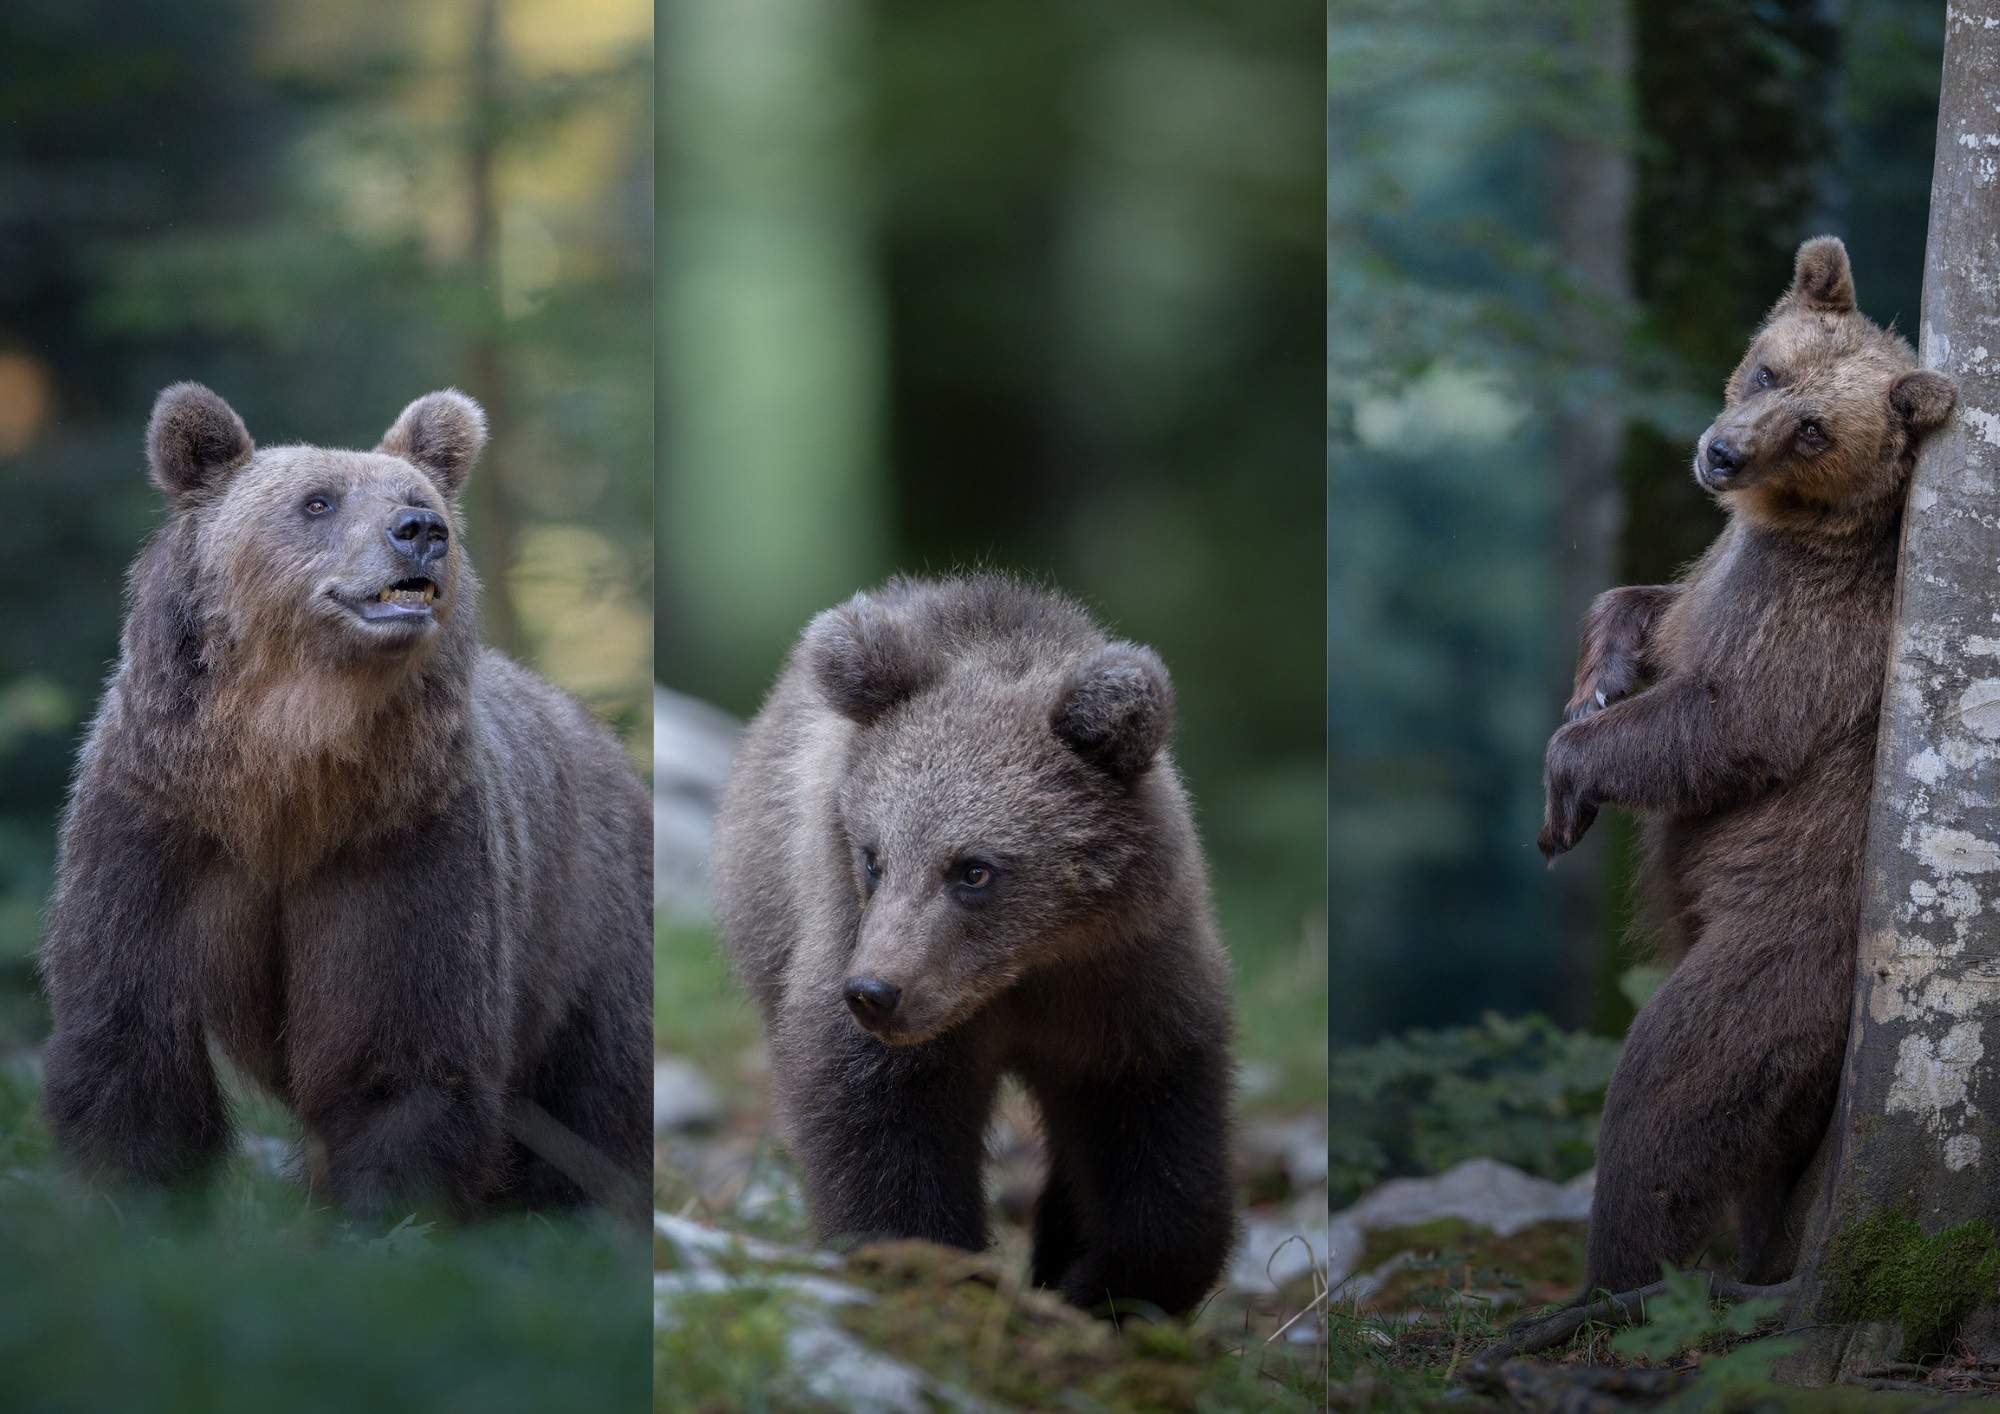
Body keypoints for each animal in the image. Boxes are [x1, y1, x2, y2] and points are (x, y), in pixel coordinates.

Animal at [37, 382, 653, 1222]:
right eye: (317, 501)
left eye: (418, 496)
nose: (420, 533)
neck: (287, 778)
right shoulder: (154, 831)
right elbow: (130, 1043)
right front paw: (132, 1201)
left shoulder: (404, 846)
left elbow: (398, 1054)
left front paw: (388, 1215)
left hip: (587, 925)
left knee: (597, 1097)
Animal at [713, 574, 1237, 1316]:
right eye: (873, 857)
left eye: (974, 869)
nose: (874, 992)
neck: (1022, 969)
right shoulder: (854, 947)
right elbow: (879, 1121)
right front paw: (928, 1262)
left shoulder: (1124, 980)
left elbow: (1156, 1131)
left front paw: (1101, 1285)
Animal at [1538, 236, 1957, 1293]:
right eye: (1770, 368)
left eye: (1813, 429)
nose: (1721, 453)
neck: (1792, 525)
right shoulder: (1722, 573)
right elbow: (1647, 606)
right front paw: (1596, 682)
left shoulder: (1817, 627)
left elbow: (1730, 722)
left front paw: (1566, 784)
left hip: (1783, 950)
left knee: (1674, 1083)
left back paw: (1610, 1285)